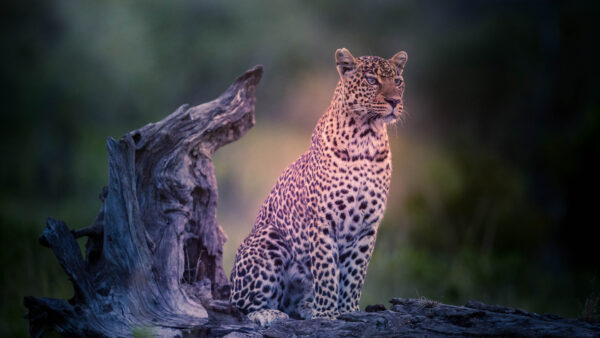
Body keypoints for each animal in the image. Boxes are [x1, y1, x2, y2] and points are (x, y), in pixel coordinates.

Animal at [230, 46, 408, 320]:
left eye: (398, 82)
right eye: (371, 80)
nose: (394, 101)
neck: (366, 140)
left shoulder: (368, 226)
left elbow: (355, 273)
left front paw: (348, 310)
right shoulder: (323, 222)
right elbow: (326, 271)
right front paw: (326, 313)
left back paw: (305, 307)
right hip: (269, 237)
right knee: (240, 305)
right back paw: (270, 314)